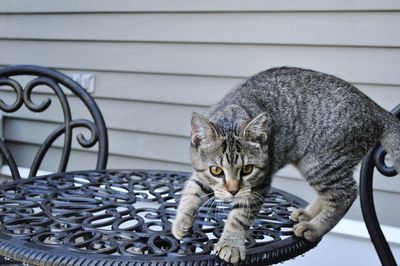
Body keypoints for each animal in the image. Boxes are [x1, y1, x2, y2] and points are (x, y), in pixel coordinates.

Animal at [171, 67, 400, 264]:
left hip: (321, 161)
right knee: (330, 194)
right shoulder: (201, 174)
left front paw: (231, 243)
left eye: (247, 169)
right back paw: (308, 213)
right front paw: (181, 222)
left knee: (346, 194)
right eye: (216, 170)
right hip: (310, 162)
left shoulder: (259, 185)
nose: (233, 190)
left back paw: (314, 227)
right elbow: (191, 192)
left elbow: (239, 216)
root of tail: (377, 110)